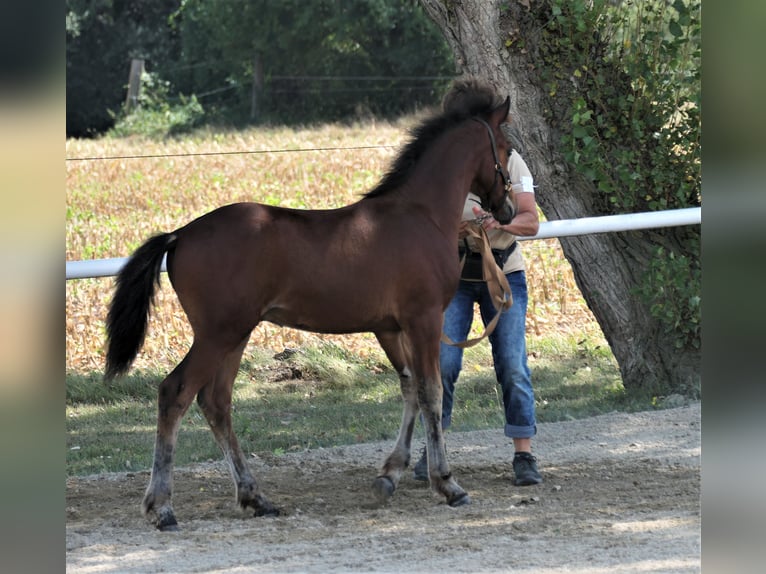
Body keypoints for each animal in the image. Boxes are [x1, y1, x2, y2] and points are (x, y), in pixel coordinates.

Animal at [106, 83, 516, 532]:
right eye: (508, 148)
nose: (508, 209)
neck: (420, 215)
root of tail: (180, 234)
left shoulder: (389, 327)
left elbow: (409, 387)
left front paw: (390, 474)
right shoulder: (422, 319)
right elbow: (432, 391)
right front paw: (447, 484)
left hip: (235, 335)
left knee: (216, 402)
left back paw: (255, 497)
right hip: (218, 334)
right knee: (175, 393)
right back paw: (162, 507)